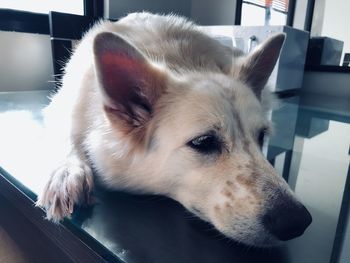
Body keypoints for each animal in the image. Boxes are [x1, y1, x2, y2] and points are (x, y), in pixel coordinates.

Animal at [37, 12, 312, 248]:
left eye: (261, 136)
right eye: (203, 142)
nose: (298, 221)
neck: (178, 59)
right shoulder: (63, 108)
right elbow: (65, 136)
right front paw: (66, 172)